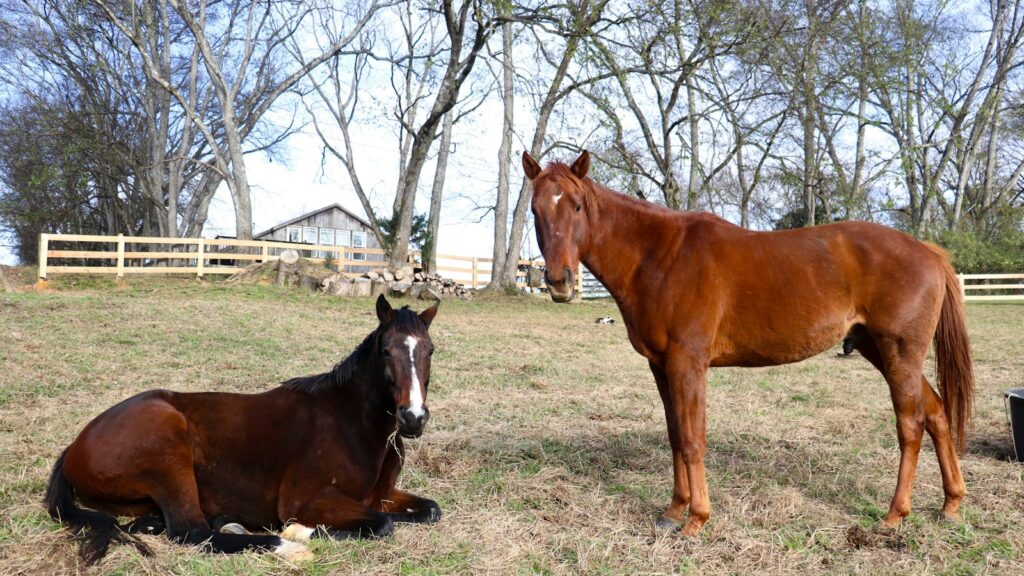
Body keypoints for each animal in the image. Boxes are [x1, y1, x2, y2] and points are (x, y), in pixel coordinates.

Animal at [46, 294, 441, 564]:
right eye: (386, 350)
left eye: (431, 350)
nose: (413, 418)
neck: (351, 424)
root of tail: (75, 446)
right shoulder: (306, 501)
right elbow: (382, 524)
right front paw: (298, 531)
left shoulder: (381, 496)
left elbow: (429, 510)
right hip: (169, 455)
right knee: (194, 534)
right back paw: (284, 544)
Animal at [522, 150, 974, 536]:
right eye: (535, 210)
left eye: (577, 207)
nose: (559, 281)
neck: (659, 256)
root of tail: (929, 253)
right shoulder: (660, 365)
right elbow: (675, 435)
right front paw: (673, 512)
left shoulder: (688, 363)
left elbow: (693, 438)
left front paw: (697, 519)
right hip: (878, 350)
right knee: (936, 412)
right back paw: (950, 504)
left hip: (899, 354)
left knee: (911, 425)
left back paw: (895, 514)